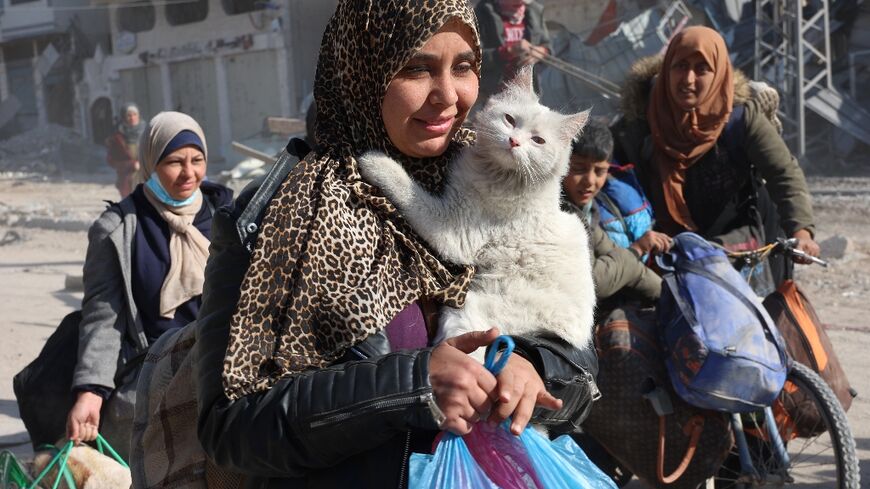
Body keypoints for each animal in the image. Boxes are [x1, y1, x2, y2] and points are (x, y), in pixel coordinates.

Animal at [358, 65, 596, 356]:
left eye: (538, 140)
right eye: (509, 120)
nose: (514, 141)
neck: (499, 174)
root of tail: (576, 335)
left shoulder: (454, 228)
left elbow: (409, 192)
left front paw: (376, 162)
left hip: (467, 311)